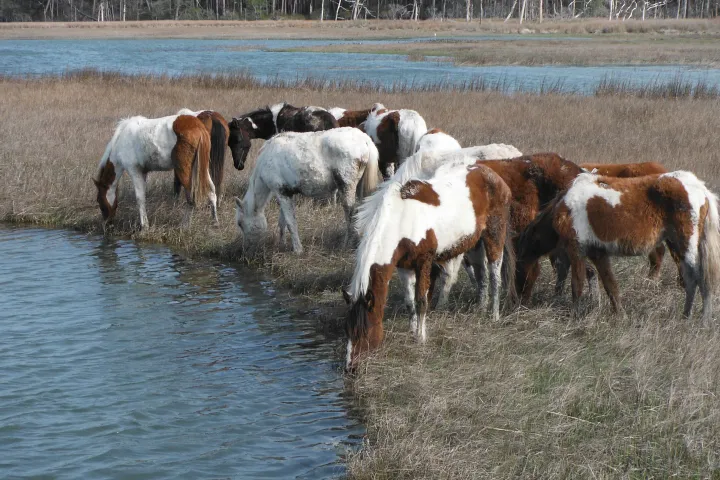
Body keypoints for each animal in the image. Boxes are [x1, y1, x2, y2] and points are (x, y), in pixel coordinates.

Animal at [233, 127, 379, 253]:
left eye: (240, 223)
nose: (245, 249)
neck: (266, 159)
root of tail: (364, 139)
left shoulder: (281, 193)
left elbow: (290, 223)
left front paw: (297, 250)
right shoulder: (286, 194)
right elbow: (283, 222)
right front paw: (281, 244)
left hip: (347, 186)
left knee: (350, 213)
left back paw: (346, 244)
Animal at [342, 163, 512, 370]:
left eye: (364, 331)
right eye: (347, 330)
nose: (350, 367)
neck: (401, 220)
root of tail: (492, 174)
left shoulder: (424, 262)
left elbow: (421, 301)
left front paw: (421, 337)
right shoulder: (404, 267)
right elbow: (409, 302)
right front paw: (412, 331)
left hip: (495, 233)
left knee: (495, 274)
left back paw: (494, 315)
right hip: (475, 243)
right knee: (482, 276)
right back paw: (481, 308)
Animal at [517, 171, 720, 323]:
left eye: (518, 271)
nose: (518, 304)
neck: (563, 209)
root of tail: (701, 188)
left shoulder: (576, 251)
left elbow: (577, 284)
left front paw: (574, 316)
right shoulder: (598, 254)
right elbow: (610, 285)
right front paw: (620, 315)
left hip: (685, 244)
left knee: (700, 277)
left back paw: (703, 321)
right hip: (677, 245)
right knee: (690, 278)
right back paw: (686, 316)